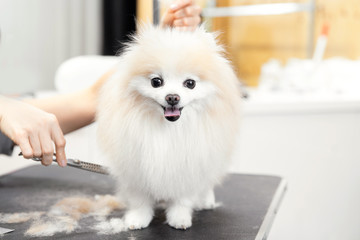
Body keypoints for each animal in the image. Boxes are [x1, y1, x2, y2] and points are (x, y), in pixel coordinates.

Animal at [97, 24, 240, 231]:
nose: (172, 97)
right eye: (156, 81)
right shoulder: (136, 168)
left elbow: (182, 199)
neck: (169, 129)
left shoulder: (188, 166)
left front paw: (179, 218)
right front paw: (137, 219)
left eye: (190, 83)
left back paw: (206, 200)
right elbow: (140, 200)